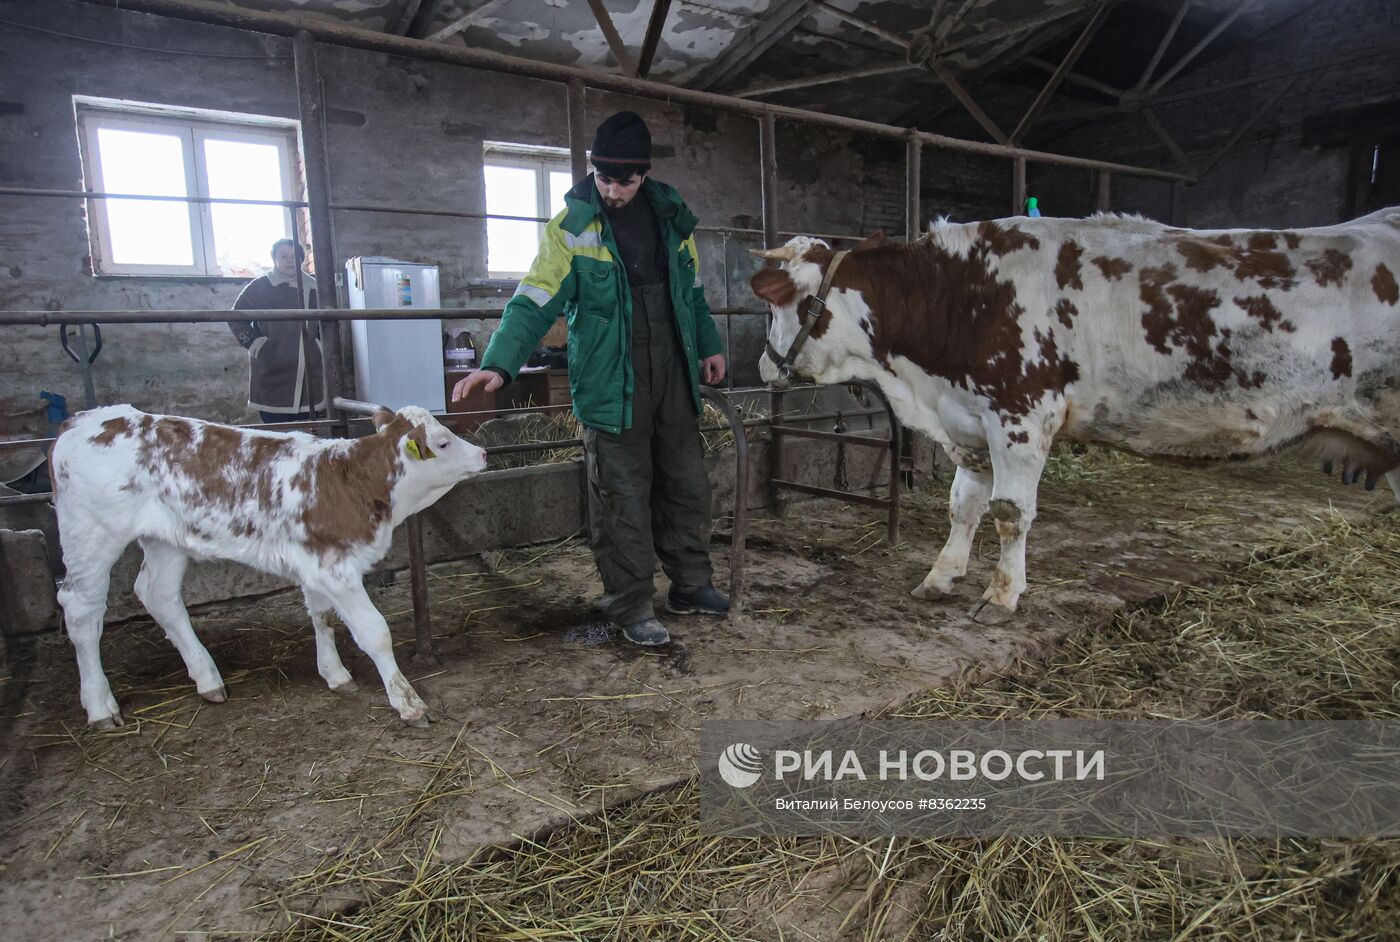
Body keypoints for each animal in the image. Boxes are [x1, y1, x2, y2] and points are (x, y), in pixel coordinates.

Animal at [50, 403, 487, 727]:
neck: (353, 482)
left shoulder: (315, 563)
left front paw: (334, 674)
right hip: (91, 535)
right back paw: (100, 705)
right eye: (443, 442)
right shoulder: (336, 570)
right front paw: (407, 701)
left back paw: (208, 679)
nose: (483, 453)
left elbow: (322, 616)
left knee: (158, 595)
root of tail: (85, 419)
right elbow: (374, 632)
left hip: (165, 538)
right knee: (81, 610)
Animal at [750, 207, 1400, 615]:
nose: (761, 367)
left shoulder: (1021, 416)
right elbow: (964, 505)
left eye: (778, 304)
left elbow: (1009, 513)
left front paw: (1002, 595)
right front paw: (941, 576)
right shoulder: (968, 420)